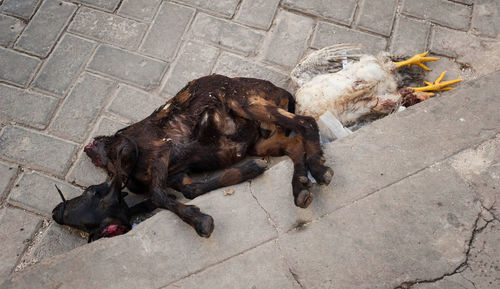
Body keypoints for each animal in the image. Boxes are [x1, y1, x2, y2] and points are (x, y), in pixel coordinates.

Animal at [51, 73, 332, 238]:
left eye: (89, 192)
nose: (55, 212)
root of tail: (282, 92)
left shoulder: (153, 150)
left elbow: (159, 195)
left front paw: (200, 221)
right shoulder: (177, 175)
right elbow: (191, 190)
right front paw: (248, 170)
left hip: (245, 101)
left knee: (306, 123)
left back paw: (318, 170)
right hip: (263, 141)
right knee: (294, 145)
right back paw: (301, 188)